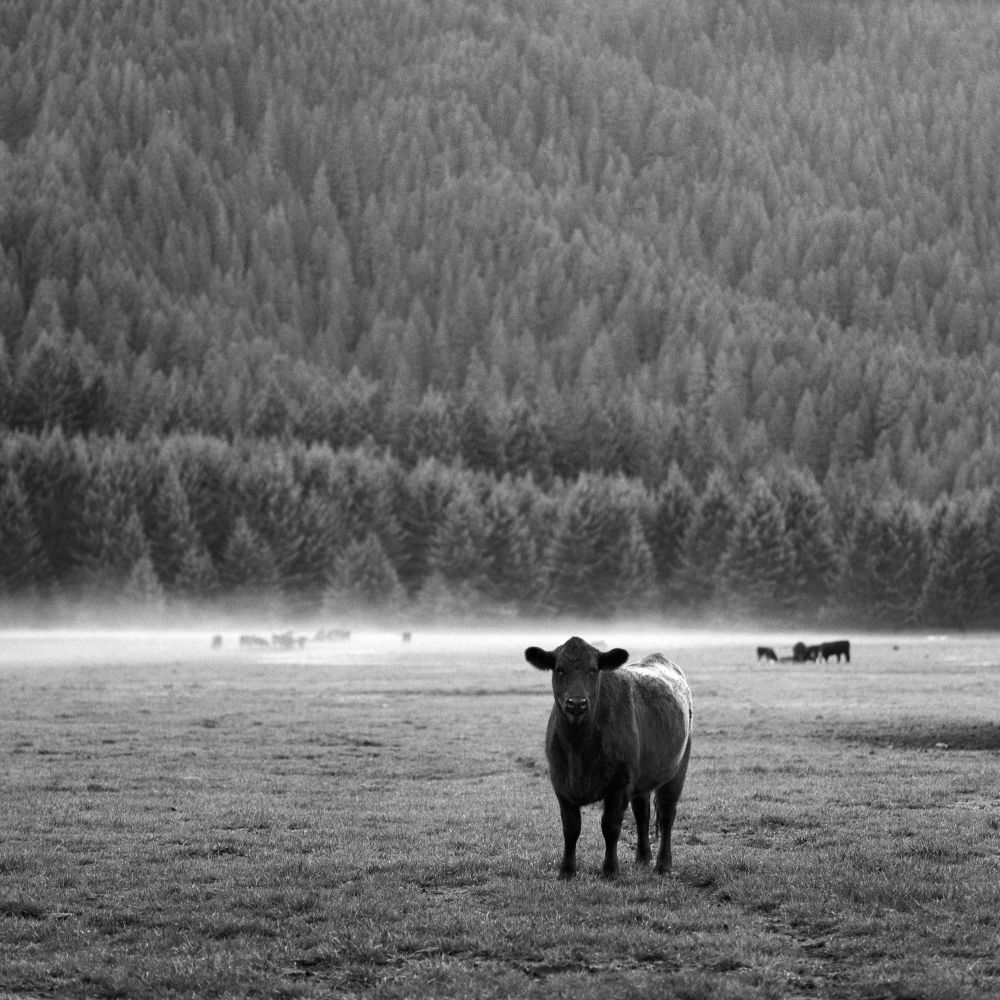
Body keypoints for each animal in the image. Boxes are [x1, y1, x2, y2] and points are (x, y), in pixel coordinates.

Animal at [524, 636, 693, 880]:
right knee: (642, 813)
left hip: (677, 769)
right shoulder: (560, 783)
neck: (578, 747)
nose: (577, 703)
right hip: (641, 778)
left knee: (666, 814)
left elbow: (610, 826)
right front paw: (566, 870)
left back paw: (663, 865)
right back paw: (643, 857)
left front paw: (610, 870)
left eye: (593, 670)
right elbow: (571, 828)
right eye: (559, 669)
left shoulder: (618, 785)